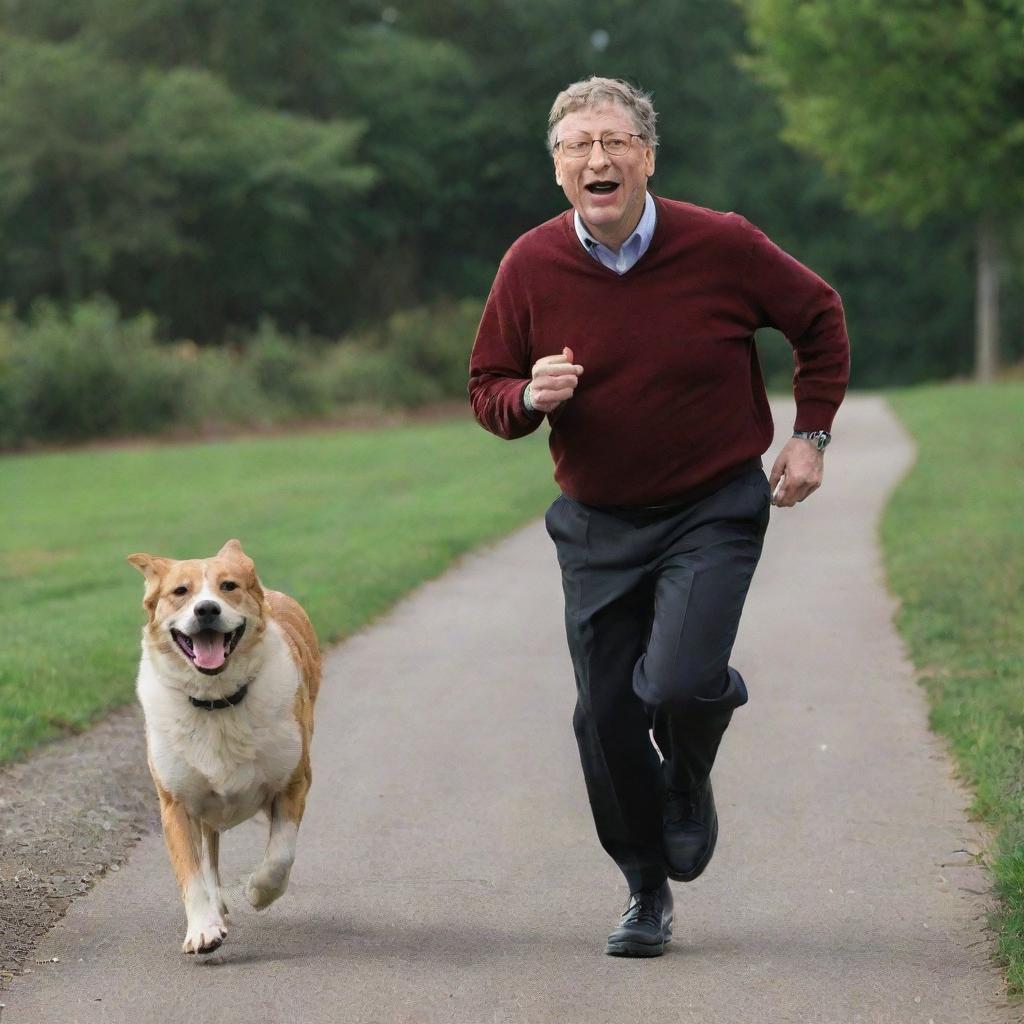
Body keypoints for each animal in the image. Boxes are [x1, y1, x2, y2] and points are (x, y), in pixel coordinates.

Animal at [128, 540, 319, 954]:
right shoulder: (175, 803)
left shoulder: (293, 781)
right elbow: (191, 872)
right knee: (208, 854)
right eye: (180, 591)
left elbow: (281, 853)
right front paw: (203, 928)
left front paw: (259, 891)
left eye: (228, 586)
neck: (216, 701)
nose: (206, 609)